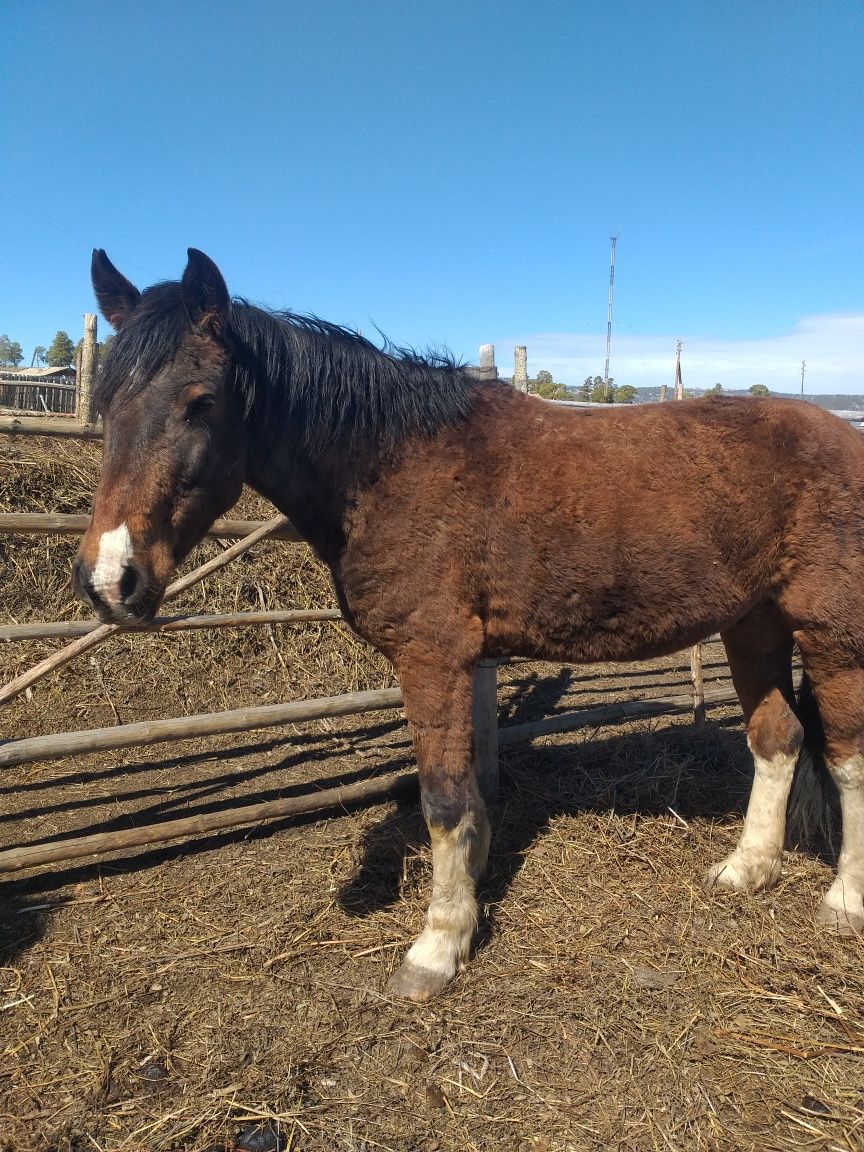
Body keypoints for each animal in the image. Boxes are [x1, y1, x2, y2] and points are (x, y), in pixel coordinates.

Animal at [74, 249, 864, 999]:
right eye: (104, 401)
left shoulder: (434, 656)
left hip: (833, 637)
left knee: (847, 758)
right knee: (778, 739)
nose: (110, 579)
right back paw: (748, 868)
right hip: (754, 624)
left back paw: (844, 900)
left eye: (201, 401)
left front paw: (439, 945)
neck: (389, 463)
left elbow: (445, 801)